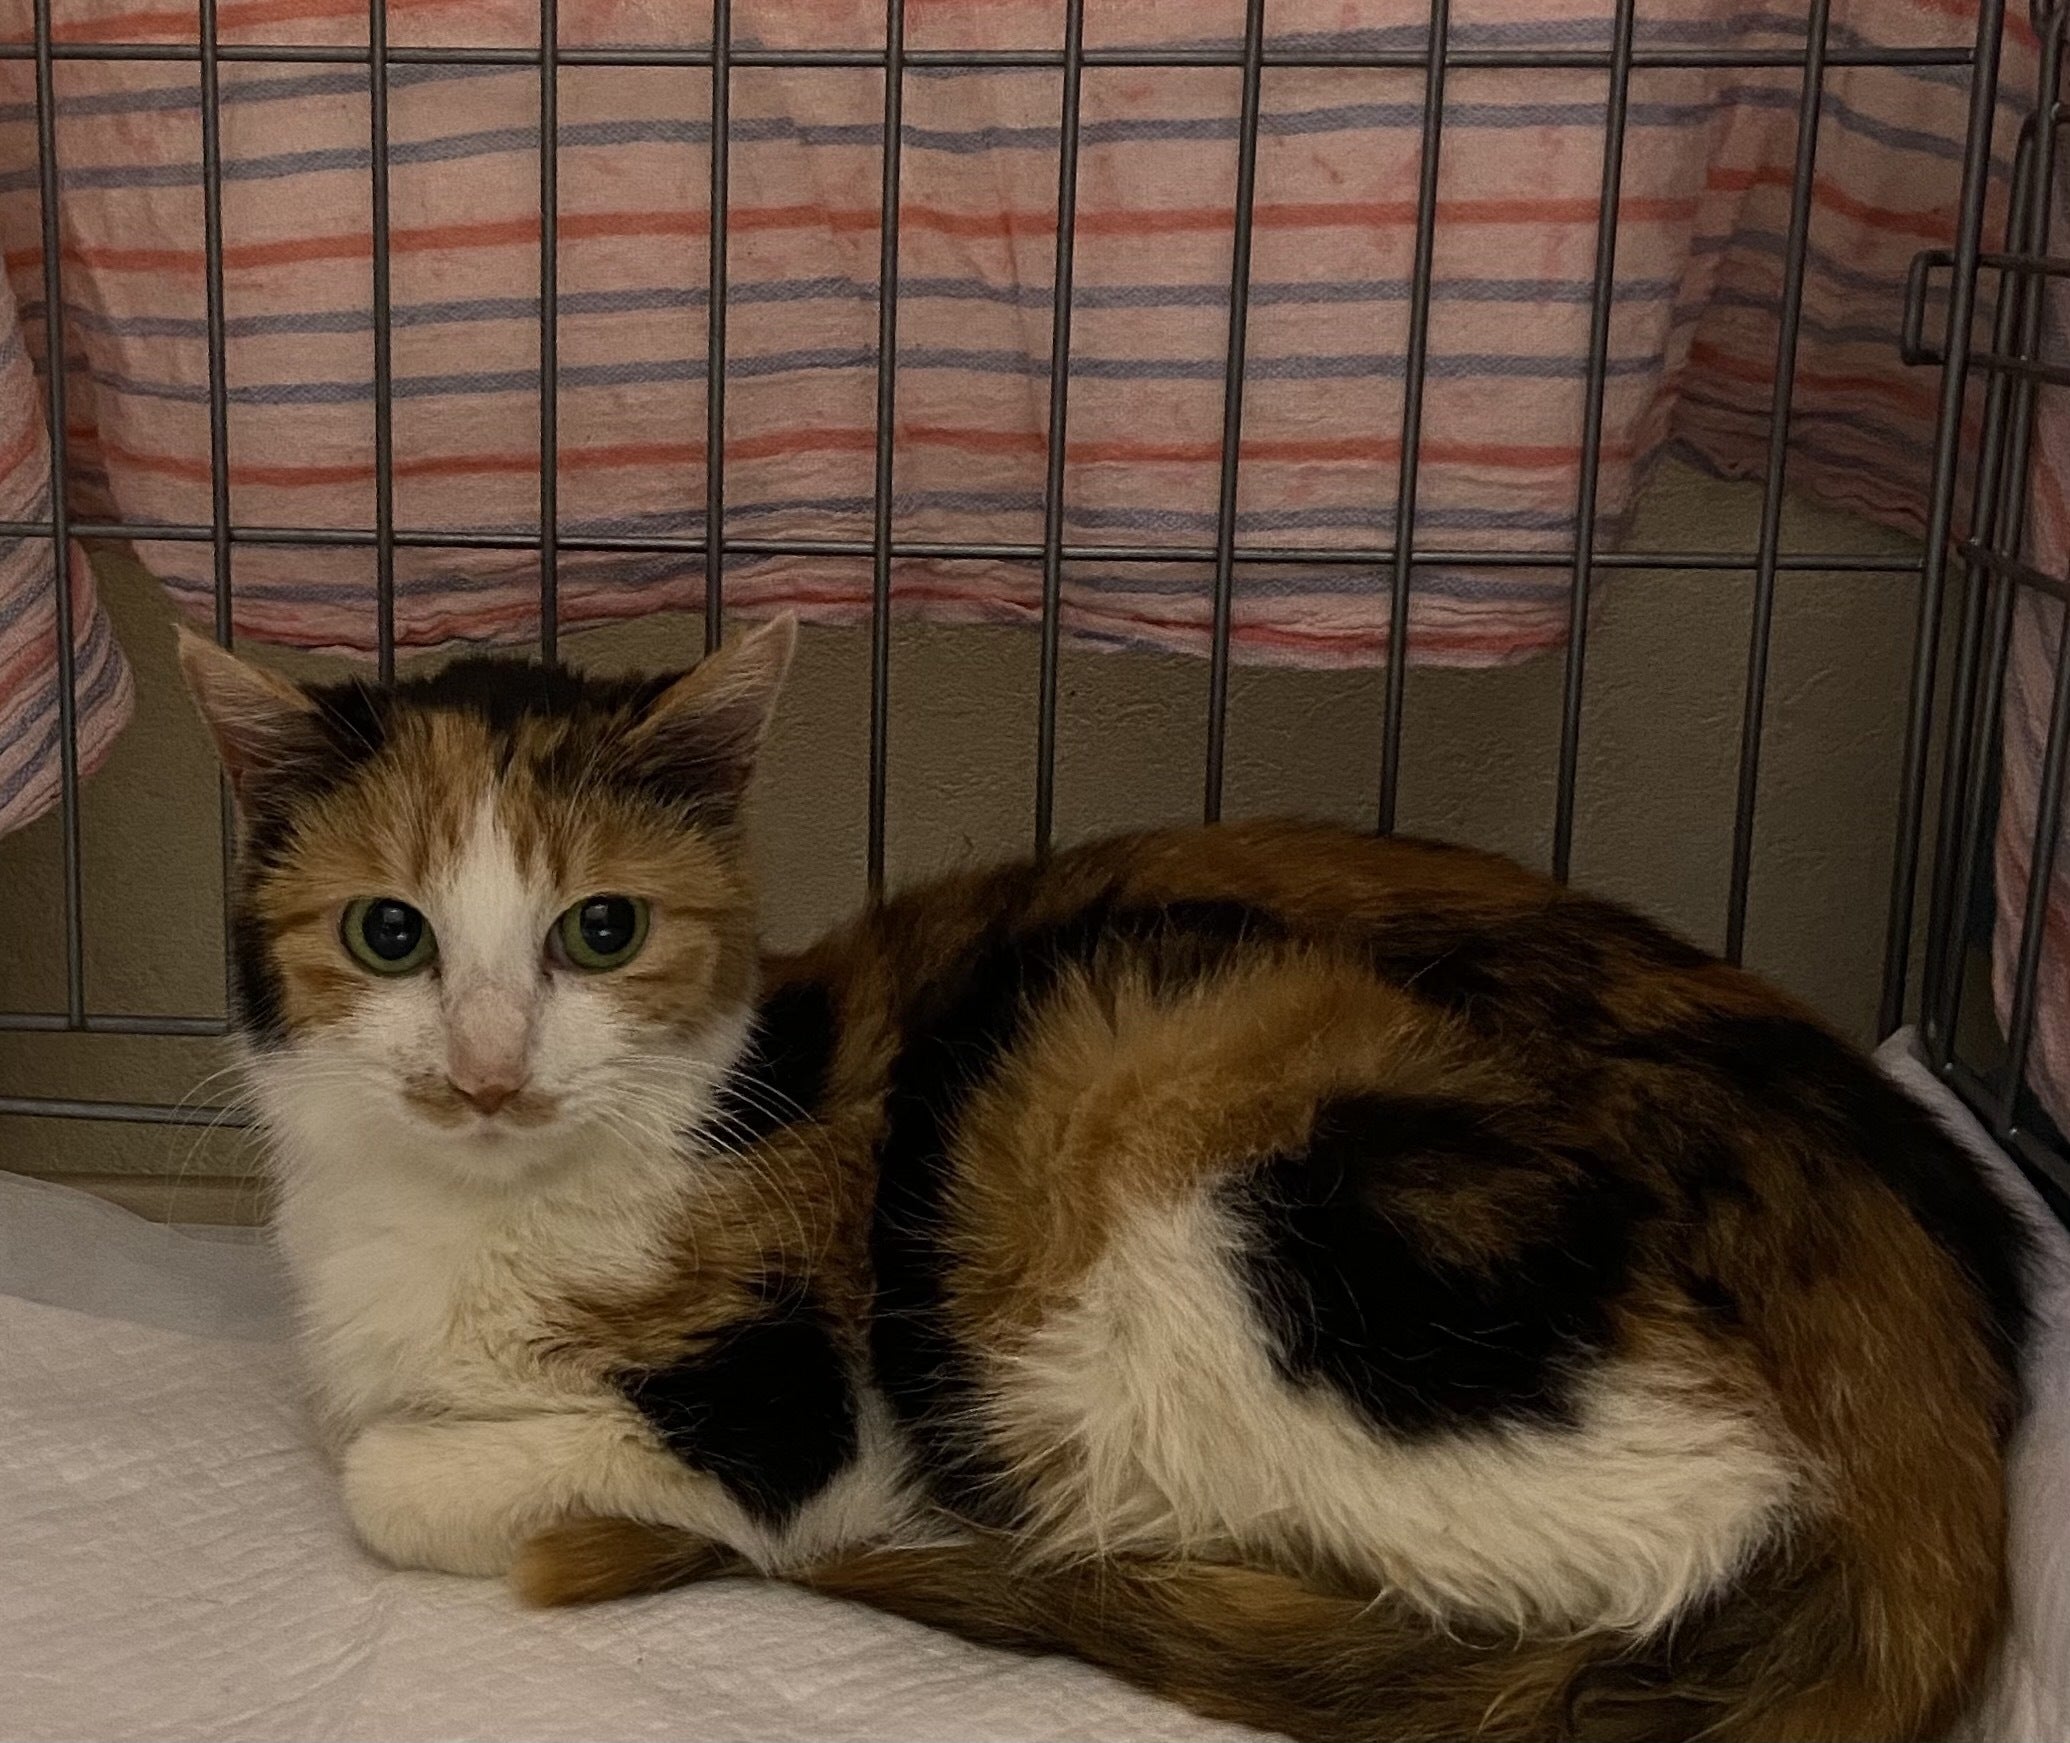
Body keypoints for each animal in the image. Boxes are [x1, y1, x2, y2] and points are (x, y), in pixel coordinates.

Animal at [178, 616, 2031, 1743]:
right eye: (390, 932)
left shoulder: (804, 1411)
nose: (487, 1065)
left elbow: (389, 1472)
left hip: (1153, 1115)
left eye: (602, 929)